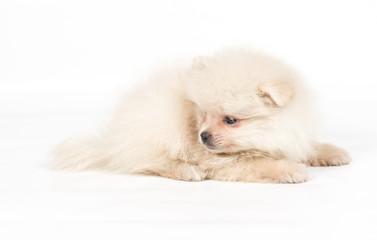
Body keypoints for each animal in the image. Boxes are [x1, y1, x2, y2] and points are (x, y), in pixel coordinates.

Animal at [53, 48, 350, 184]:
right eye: (203, 115)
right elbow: (258, 163)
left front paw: (331, 152)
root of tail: (110, 142)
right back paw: (186, 170)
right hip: (159, 125)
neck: (271, 132)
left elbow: (307, 146)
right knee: (151, 162)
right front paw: (290, 169)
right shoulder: (222, 163)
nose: (203, 136)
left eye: (230, 120)